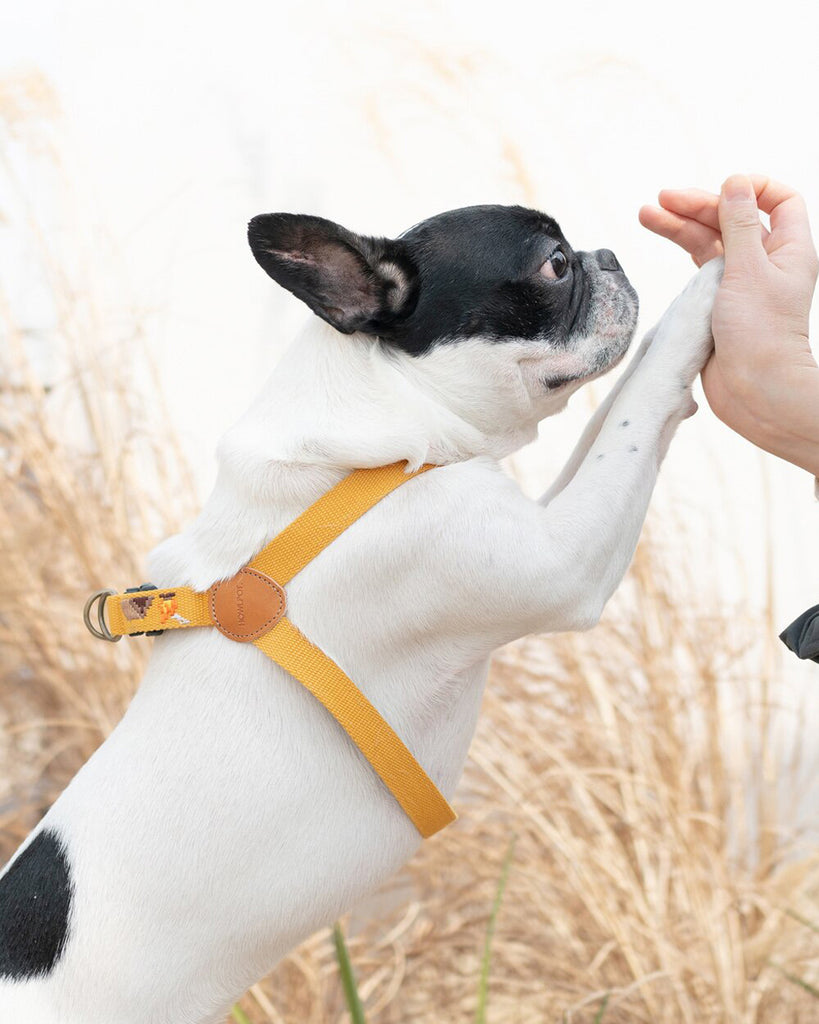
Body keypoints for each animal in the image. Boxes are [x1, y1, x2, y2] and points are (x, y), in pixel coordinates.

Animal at [0, 203, 716, 1019]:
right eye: (555, 265)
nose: (607, 256)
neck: (369, 447)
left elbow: (612, 425)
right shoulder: (564, 559)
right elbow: (635, 408)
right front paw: (707, 292)